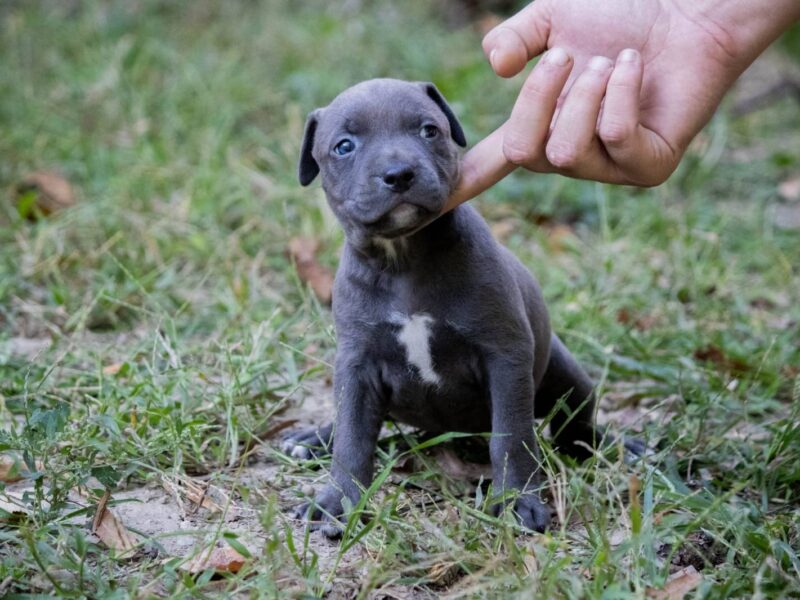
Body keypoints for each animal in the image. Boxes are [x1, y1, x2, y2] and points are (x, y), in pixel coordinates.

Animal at [284, 78, 640, 536]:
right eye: (344, 146)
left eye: (428, 131)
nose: (399, 174)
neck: (404, 258)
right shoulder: (357, 365)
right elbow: (351, 437)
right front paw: (335, 502)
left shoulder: (505, 355)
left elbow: (511, 435)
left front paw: (517, 502)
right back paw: (312, 439)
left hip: (566, 376)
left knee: (574, 430)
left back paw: (617, 445)